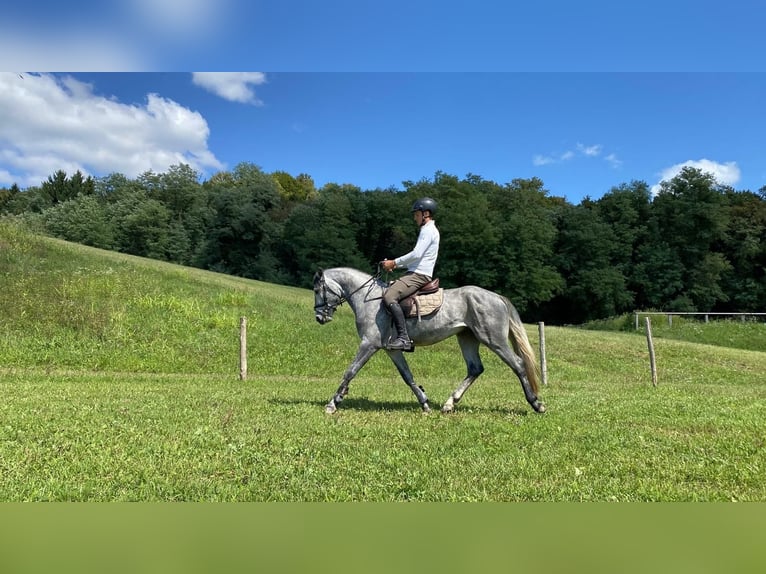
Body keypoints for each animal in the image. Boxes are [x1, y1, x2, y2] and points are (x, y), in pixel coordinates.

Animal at [313, 267, 546, 415]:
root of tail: (497, 297)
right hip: (467, 337)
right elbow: (407, 376)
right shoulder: (391, 349)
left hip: (494, 339)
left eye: (317, 290)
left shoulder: (369, 344)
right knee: (475, 368)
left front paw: (333, 403)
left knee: (518, 364)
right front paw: (424, 403)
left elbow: (350, 371)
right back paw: (449, 404)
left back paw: (536, 404)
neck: (368, 300)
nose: (319, 318)